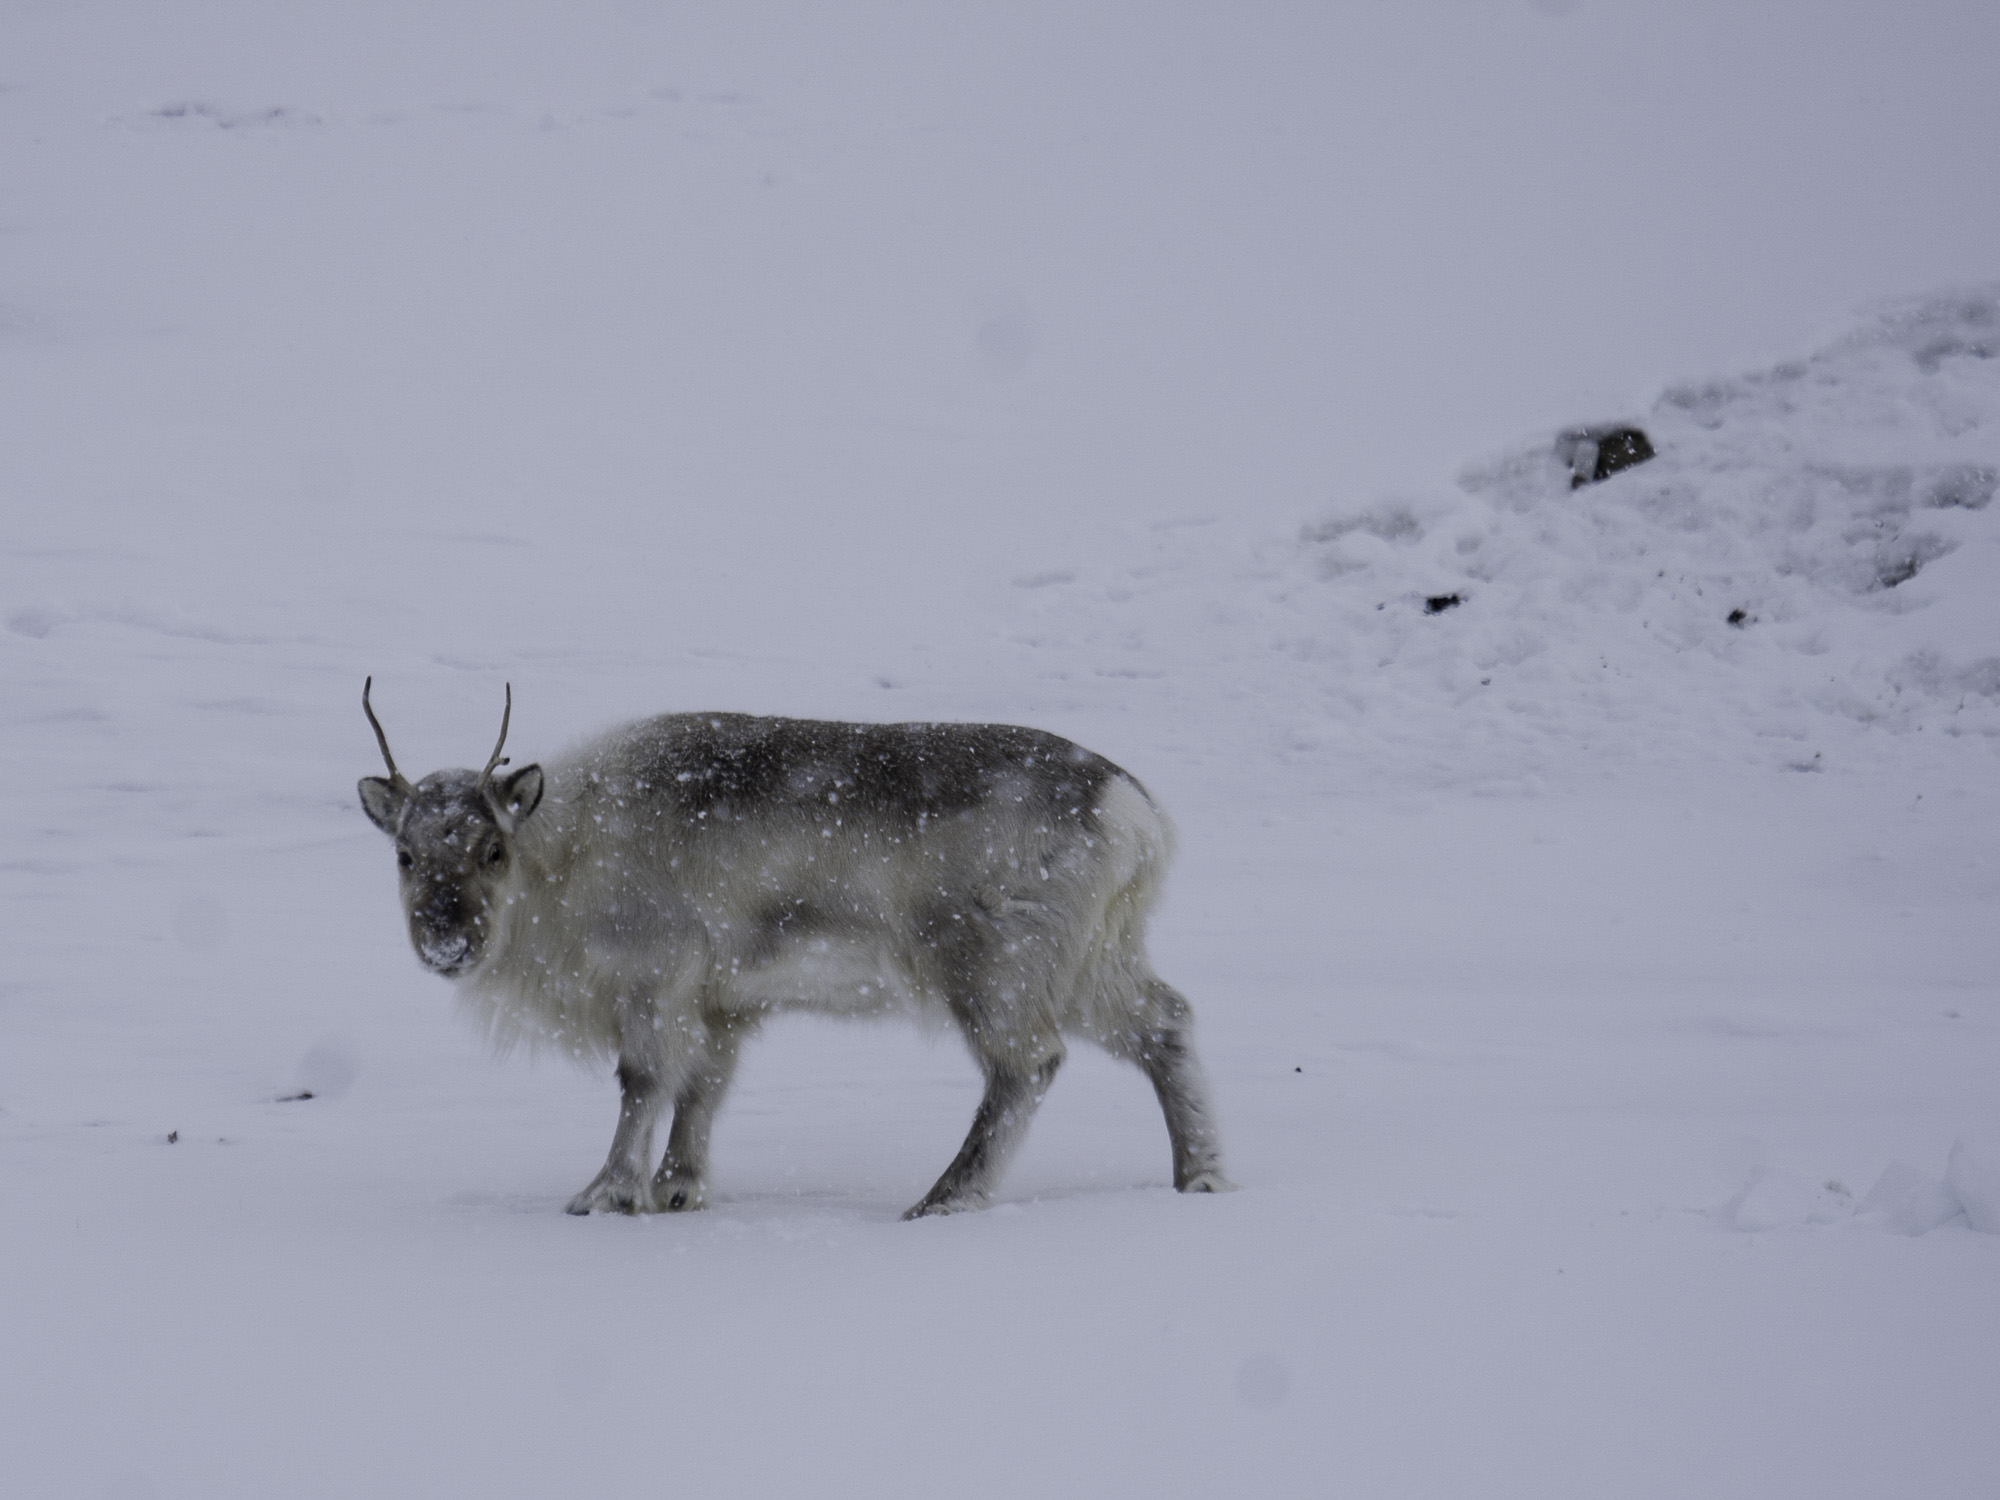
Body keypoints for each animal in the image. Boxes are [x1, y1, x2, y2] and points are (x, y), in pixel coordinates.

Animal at [357, 680, 1231, 1219]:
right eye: (404, 853)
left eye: (491, 850)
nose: (445, 940)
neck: (564, 855)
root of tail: (1135, 813)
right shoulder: (723, 1005)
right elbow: (703, 1091)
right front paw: (678, 1190)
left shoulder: (653, 980)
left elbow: (642, 1083)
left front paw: (605, 1193)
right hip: (1094, 961)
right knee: (1167, 1021)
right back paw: (1202, 1177)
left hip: (996, 965)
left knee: (1029, 1065)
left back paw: (942, 1199)